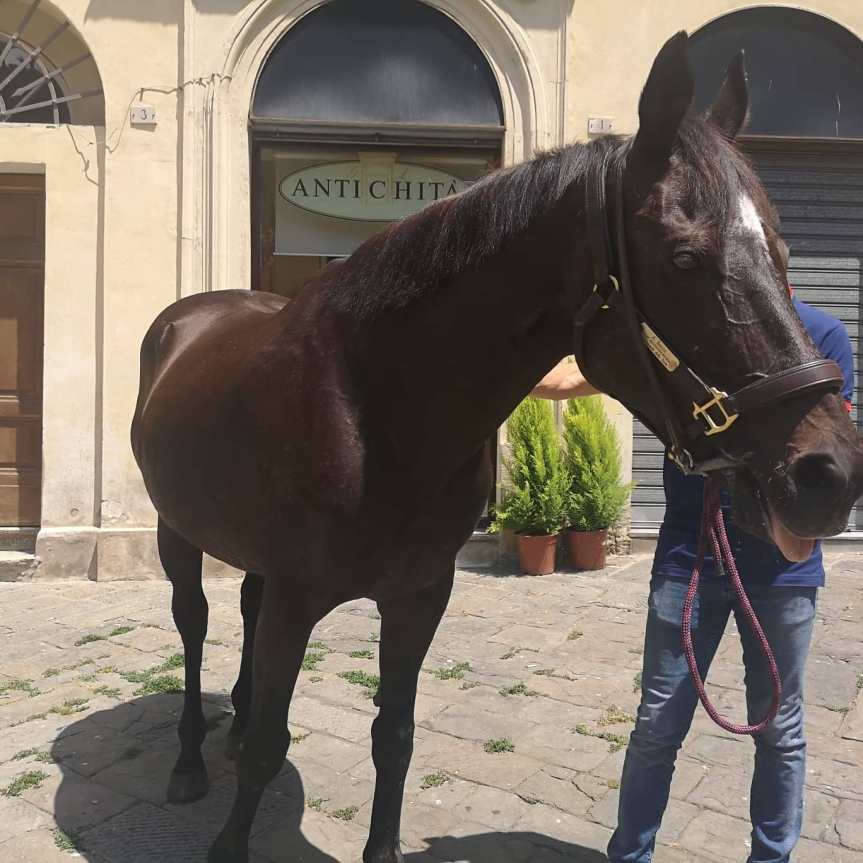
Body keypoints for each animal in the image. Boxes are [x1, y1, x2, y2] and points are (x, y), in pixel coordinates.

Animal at [132, 32, 863, 863]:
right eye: (683, 257)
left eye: (781, 251)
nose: (829, 470)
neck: (372, 408)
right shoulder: (298, 596)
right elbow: (268, 745)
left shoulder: (418, 595)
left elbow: (394, 736)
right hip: (176, 530)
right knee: (192, 622)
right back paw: (190, 759)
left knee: (243, 613)